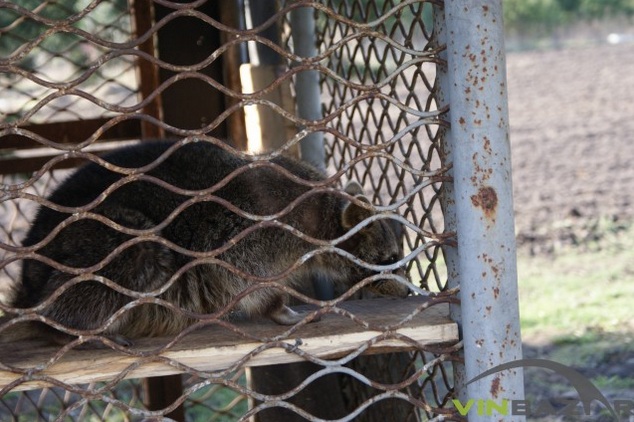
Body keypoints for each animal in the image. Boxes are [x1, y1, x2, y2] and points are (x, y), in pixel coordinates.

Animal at [1, 140, 410, 344]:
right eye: (387, 258)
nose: (408, 291)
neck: (316, 212)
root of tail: (29, 280)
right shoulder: (252, 237)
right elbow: (248, 285)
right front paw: (277, 308)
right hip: (104, 242)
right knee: (132, 258)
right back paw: (72, 332)